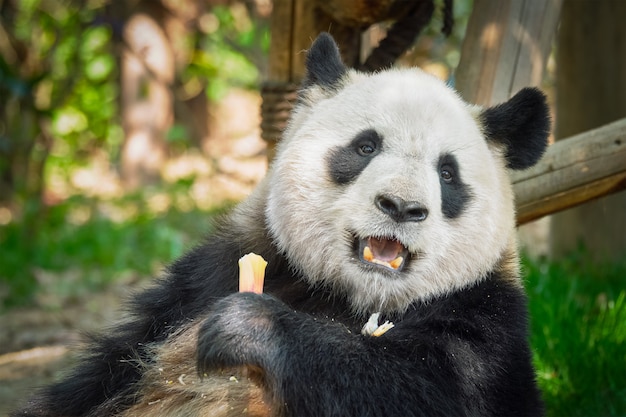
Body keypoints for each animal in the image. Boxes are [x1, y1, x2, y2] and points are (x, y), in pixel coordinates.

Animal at [14, 33, 548, 416]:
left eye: (448, 173)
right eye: (365, 146)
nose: (400, 206)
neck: (354, 298)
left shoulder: (485, 322)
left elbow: (425, 389)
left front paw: (251, 327)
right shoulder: (208, 277)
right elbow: (101, 377)